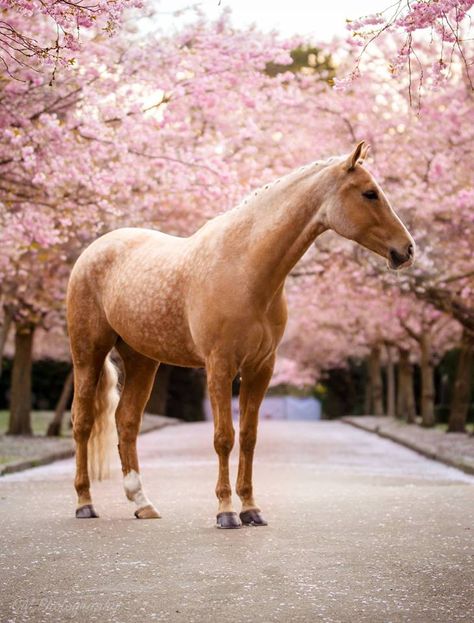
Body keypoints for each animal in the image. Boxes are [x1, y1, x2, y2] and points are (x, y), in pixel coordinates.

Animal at [67, 144, 414, 528]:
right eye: (369, 193)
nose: (407, 250)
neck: (244, 268)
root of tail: (93, 251)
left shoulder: (261, 368)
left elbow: (248, 437)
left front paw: (250, 508)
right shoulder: (220, 366)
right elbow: (224, 437)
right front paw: (226, 511)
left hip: (142, 359)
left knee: (126, 422)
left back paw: (142, 502)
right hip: (88, 354)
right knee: (82, 422)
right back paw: (84, 503)